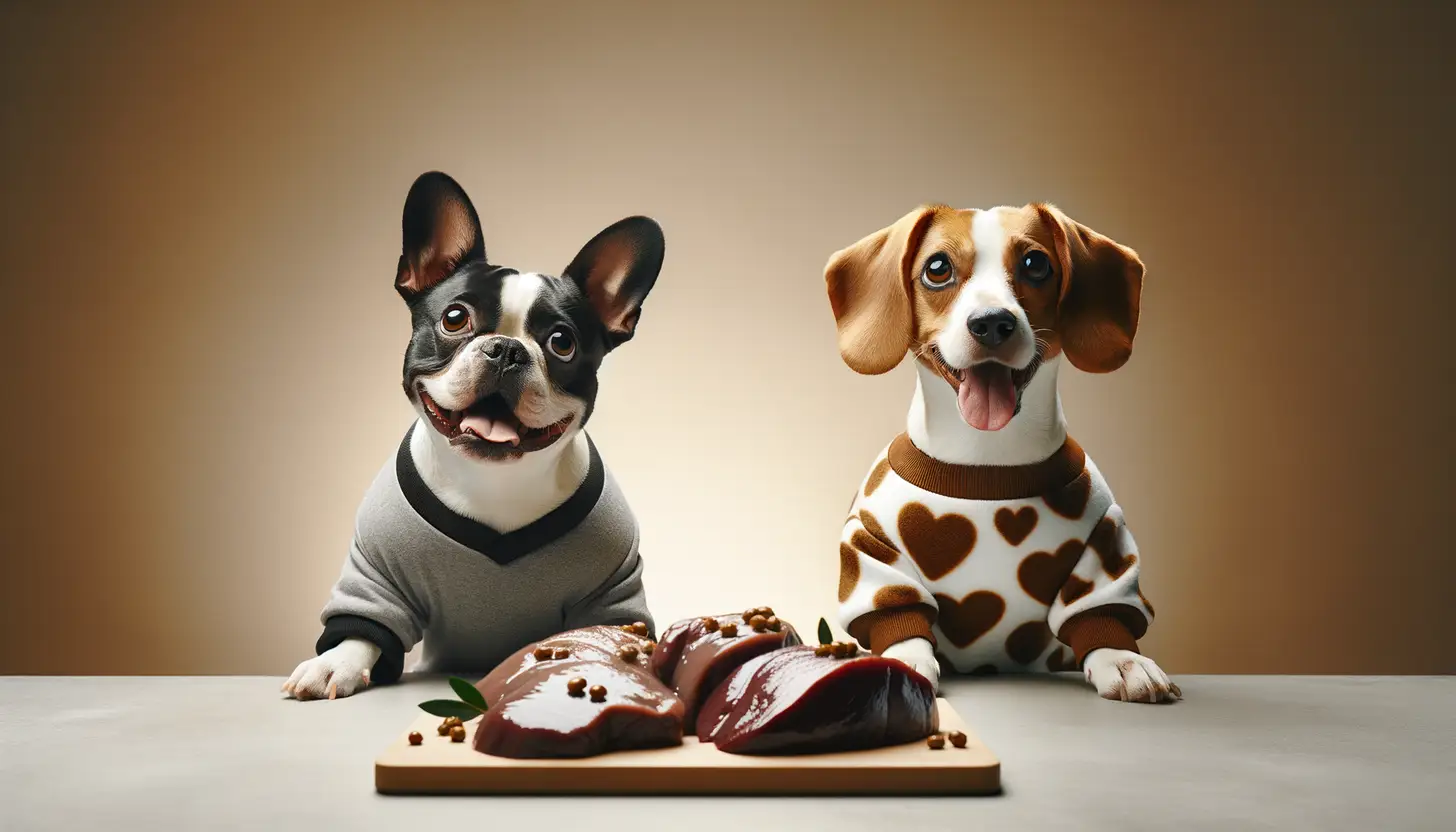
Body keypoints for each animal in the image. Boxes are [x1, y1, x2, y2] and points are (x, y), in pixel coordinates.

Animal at [282, 172, 666, 699]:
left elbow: (606, 636)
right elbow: (365, 629)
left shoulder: (613, 589)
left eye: (562, 343)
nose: (506, 349)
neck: (492, 482)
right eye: (454, 318)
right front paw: (334, 663)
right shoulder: (376, 575)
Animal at [827, 203, 1176, 702]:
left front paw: (1122, 658)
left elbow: (1098, 612)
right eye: (937, 268)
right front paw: (905, 660)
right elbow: (900, 616)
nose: (992, 322)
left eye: (1036, 264)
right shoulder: (871, 550)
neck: (987, 461)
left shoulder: (1105, 545)